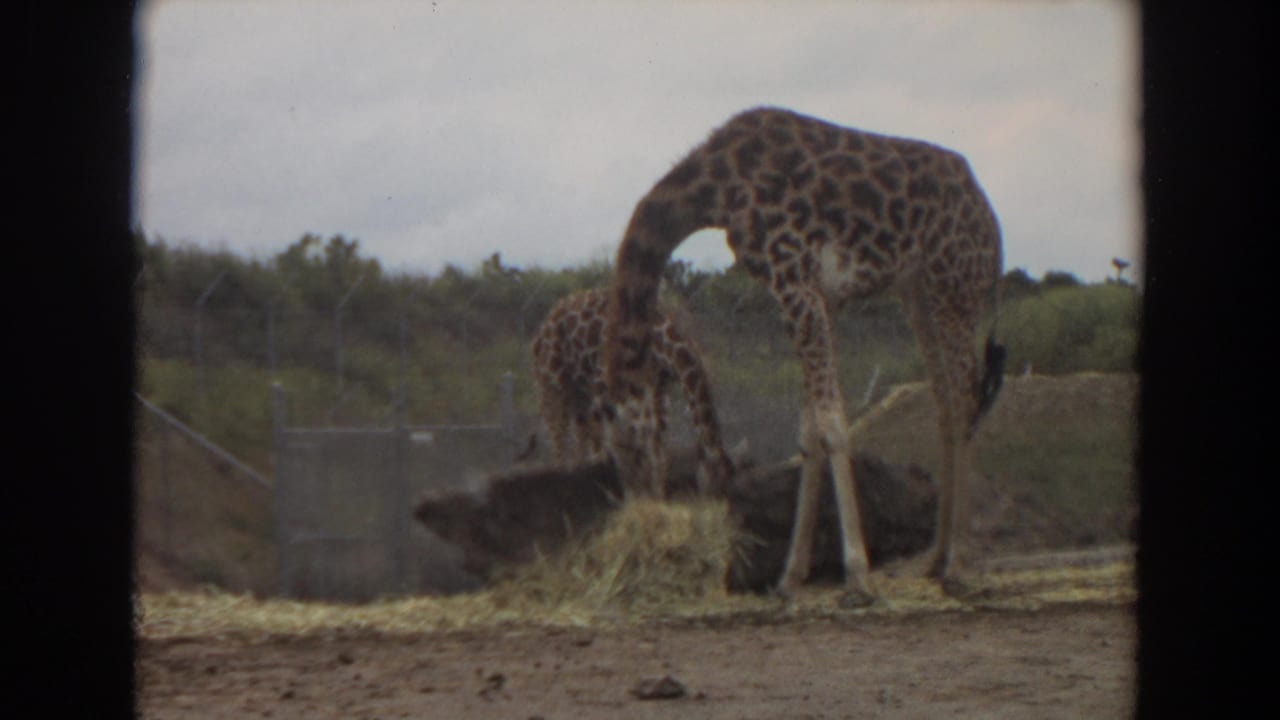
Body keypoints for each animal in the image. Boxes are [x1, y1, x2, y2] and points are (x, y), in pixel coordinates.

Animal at [531, 287, 735, 497]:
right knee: (559, 440)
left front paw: (655, 496)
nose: (718, 502)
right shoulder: (608, 386)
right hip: (553, 387)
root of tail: (542, 327)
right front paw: (631, 494)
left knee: (582, 437)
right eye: (715, 485)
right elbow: (622, 446)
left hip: (580, 395)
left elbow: (655, 449)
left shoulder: (656, 390)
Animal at [605, 107, 1005, 606]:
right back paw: (936, 560)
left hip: (953, 284)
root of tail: (989, 217)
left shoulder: (796, 283)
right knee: (947, 405)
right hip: (917, 292)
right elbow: (809, 432)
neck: (718, 187)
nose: (641, 506)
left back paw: (958, 564)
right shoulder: (814, 295)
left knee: (966, 399)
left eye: (627, 447)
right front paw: (790, 578)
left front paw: (857, 575)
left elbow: (832, 426)